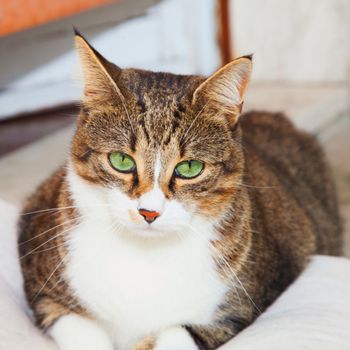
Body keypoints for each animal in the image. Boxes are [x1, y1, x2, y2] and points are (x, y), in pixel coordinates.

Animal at [18, 30, 342, 350]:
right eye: (121, 160)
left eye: (189, 168)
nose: (148, 212)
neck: (145, 255)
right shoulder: (44, 284)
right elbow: (77, 325)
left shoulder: (242, 308)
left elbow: (176, 333)